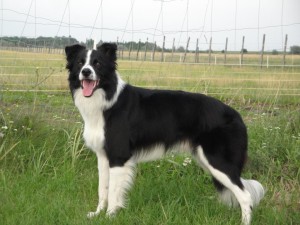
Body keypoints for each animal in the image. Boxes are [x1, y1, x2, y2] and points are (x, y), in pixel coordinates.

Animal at [64, 43, 264, 224]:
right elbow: (103, 189)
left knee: (245, 195)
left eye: (97, 64)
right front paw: (98, 214)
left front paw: (110, 216)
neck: (106, 100)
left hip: (217, 161)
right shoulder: (103, 156)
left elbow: (113, 191)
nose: (86, 72)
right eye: (80, 63)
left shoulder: (119, 156)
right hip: (205, 159)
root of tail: (237, 115)